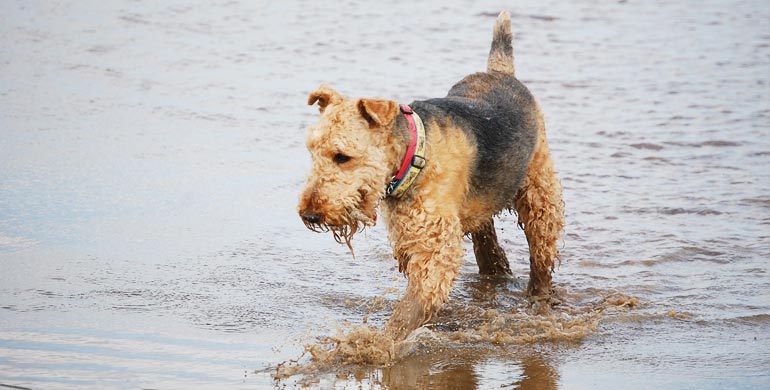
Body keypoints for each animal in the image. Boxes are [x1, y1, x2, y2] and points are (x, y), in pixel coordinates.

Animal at [296, 11, 560, 342]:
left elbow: (409, 310)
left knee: (541, 256)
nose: (309, 214)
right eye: (311, 151)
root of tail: (500, 72)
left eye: (342, 156)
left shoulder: (435, 246)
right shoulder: (410, 239)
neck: (414, 156)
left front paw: (379, 345)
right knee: (488, 245)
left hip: (540, 195)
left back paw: (538, 299)